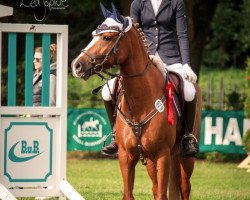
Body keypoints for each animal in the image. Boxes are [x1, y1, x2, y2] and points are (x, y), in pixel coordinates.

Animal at [71, 3, 202, 200]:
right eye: (94, 35)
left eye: (107, 37)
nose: (77, 66)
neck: (140, 102)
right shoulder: (126, 157)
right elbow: (130, 193)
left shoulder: (162, 155)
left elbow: (162, 195)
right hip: (152, 161)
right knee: (156, 187)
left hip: (185, 158)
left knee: (185, 187)